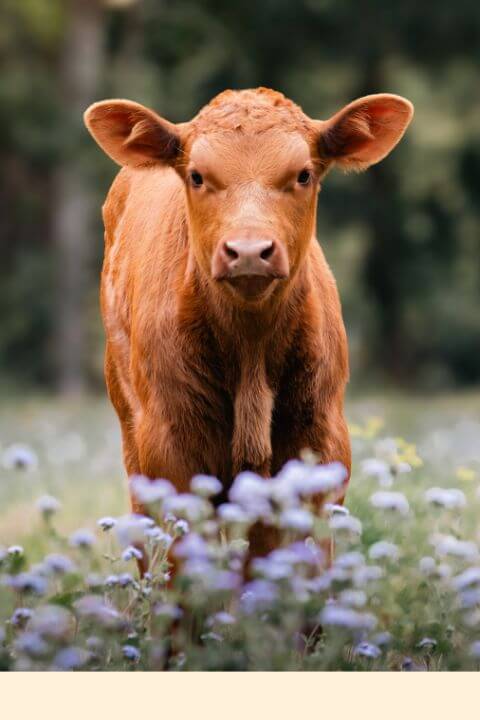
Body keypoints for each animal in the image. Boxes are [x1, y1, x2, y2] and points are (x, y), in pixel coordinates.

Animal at [84, 87, 413, 557]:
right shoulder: (168, 448)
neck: (250, 350)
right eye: (198, 176)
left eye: (303, 174)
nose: (250, 251)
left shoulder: (321, 443)